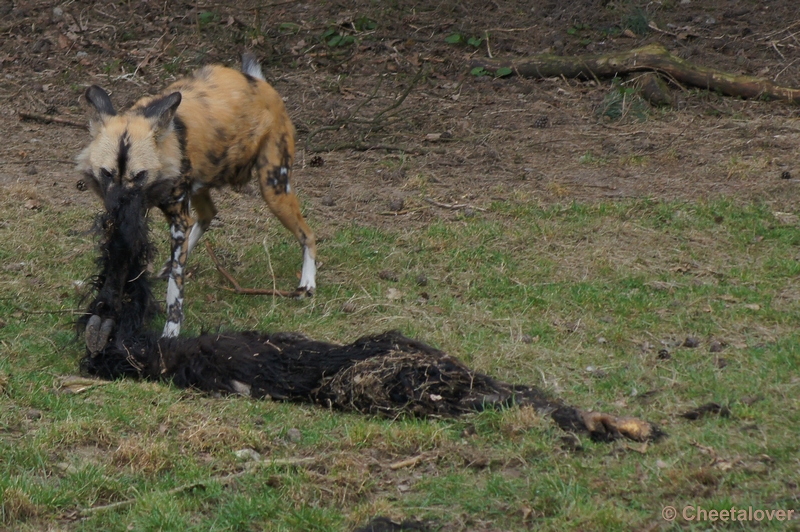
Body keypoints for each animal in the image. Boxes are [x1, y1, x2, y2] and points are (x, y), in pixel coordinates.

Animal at [77, 53, 316, 336]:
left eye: (139, 175)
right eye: (106, 173)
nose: (115, 208)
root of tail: (258, 83)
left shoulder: (174, 219)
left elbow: (175, 289)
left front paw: (171, 331)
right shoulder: (137, 215)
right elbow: (124, 258)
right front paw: (109, 305)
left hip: (274, 189)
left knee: (308, 235)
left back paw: (307, 283)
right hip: (203, 185)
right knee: (208, 215)